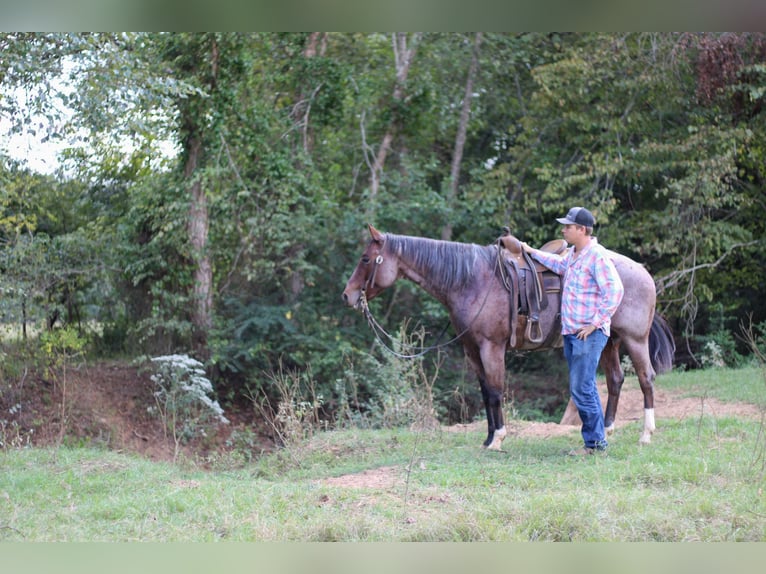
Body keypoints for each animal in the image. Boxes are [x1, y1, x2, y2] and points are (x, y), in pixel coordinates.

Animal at [344, 227, 680, 452]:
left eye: (365, 259)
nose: (347, 295)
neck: (472, 280)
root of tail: (643, 272)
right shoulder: (472, 349)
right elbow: (485, 393)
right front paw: (488, 438)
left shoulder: (491, 347)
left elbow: (495, 390)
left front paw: (499, 439)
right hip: (609, 342)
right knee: (615, 380)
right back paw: (606, 431)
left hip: (635, 339)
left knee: (646, 379)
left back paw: (646, 434)